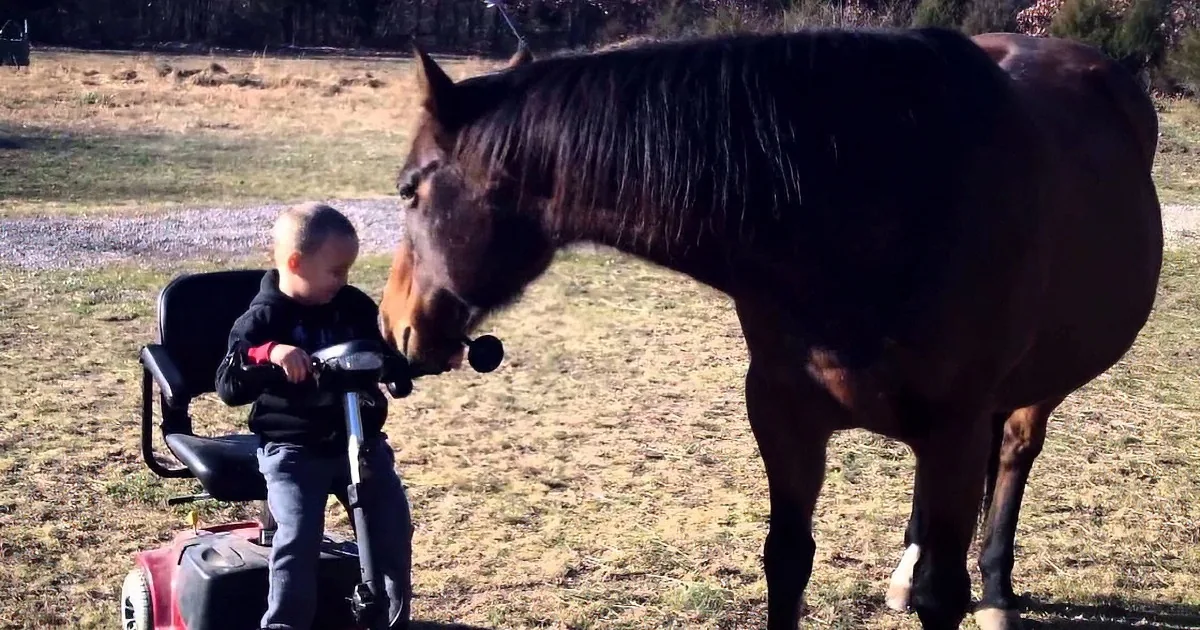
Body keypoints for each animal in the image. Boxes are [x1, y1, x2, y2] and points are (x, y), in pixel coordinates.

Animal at [377, 27, 1163, 630]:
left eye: (410, 190)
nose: (393, 324)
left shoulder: (953, 426)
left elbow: (944, 593)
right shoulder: (785, 413)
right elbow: (787, 562)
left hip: (1032, 389)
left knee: (1015, 454)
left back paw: (997, 590)